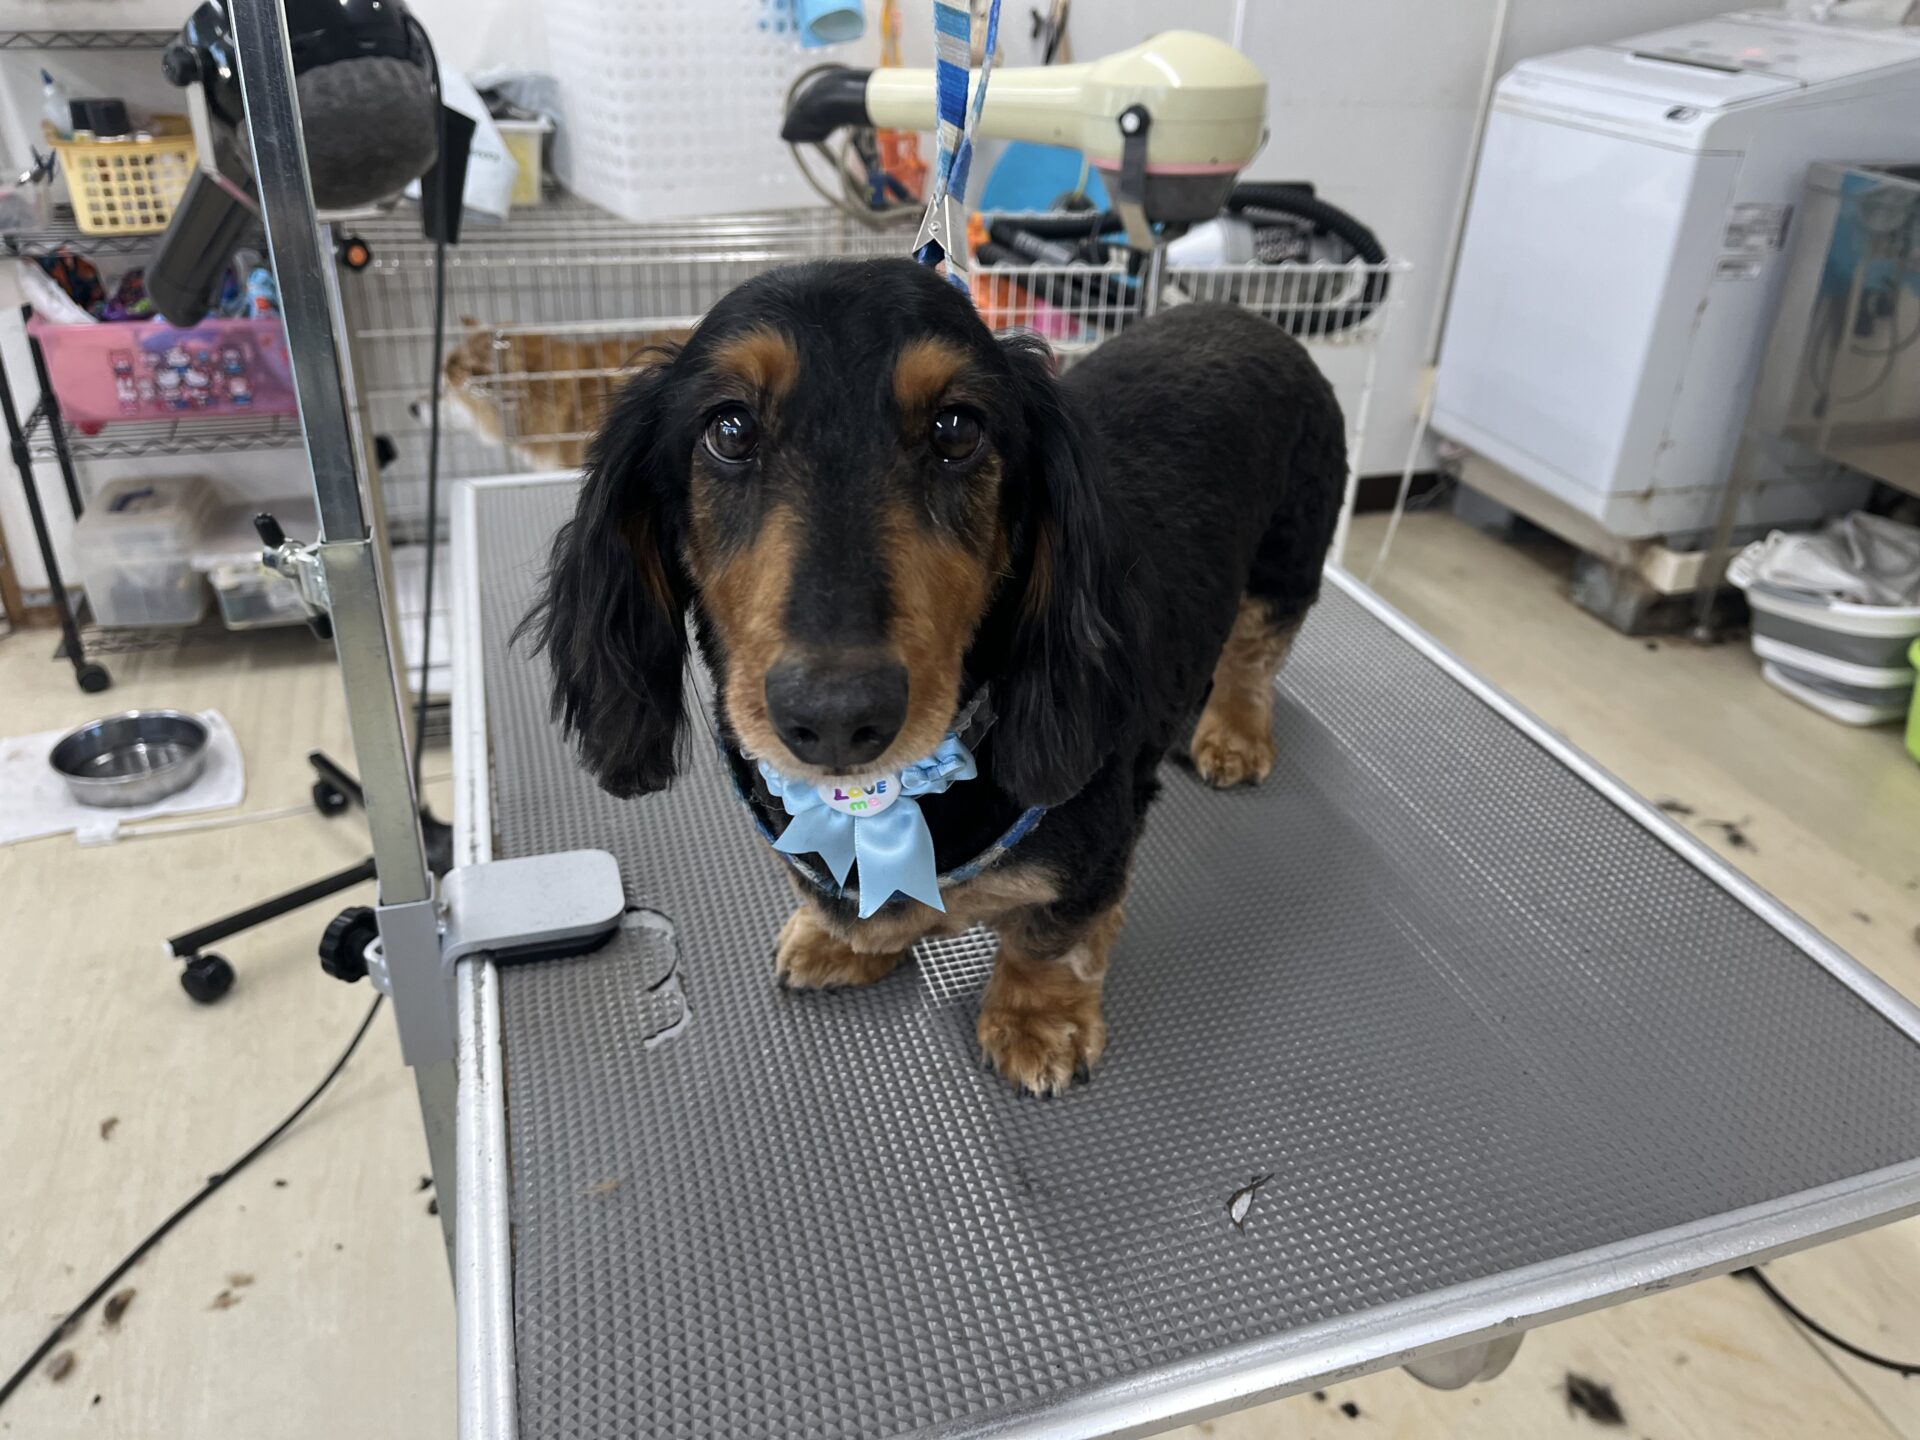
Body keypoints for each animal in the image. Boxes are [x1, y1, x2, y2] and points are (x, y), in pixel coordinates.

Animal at [527, 258, 1346, 1095]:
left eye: (957, 429)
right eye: (729, 429)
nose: (834, 716)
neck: (887, 797)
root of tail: (1246, 312)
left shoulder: (1097, 845)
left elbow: (1055, 935)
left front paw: (1037, 1021)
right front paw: (841, 937)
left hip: (1287, 561)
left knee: (1254, 656)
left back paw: (1233, 733)